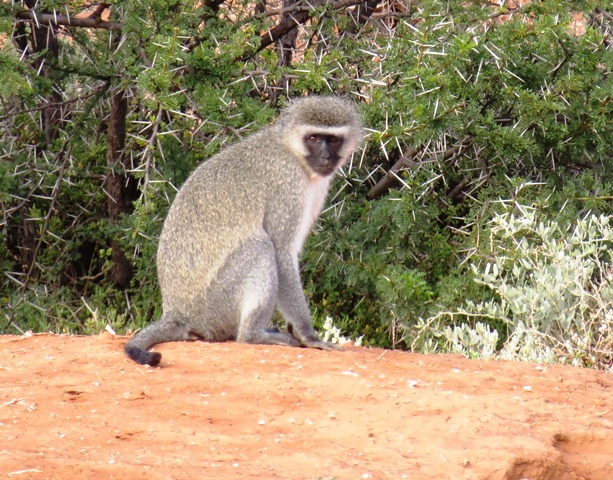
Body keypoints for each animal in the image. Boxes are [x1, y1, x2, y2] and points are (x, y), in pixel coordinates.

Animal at [124, 95, 364, 366]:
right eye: (313, 138)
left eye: (332, 140)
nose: (325, 157)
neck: (292, 152)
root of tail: (177, 314)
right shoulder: (288, 187)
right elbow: (282, 253)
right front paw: (308, 335)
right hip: (214, 305)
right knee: (261, 247)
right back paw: (253, 335)